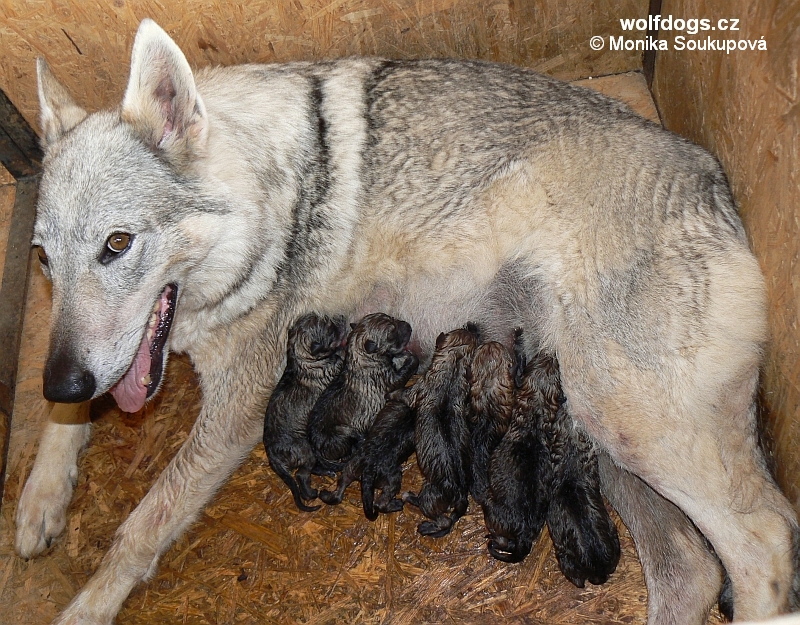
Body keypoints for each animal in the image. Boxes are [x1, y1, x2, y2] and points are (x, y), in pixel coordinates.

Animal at [264, 314, 346, 510]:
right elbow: (341, 355)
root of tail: (272, 455)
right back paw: (311, 493)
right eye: (330, 330)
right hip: (305, 450)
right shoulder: (333, 366)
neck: (300, 356)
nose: (341, 317)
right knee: (302, 474)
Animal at [306, 312, 418, 468]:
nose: (409, 326)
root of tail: (314, 446)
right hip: (342, 436)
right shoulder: (390, 379)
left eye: (392, 318)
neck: (360, 355)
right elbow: (406, 370)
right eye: (391, 334)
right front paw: (411, 358)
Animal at [318, 388, 416, 520]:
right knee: (379, 504)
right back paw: (397, 504)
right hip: (393, 481)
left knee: (338, 494)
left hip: (349, 469)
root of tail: (368, 470)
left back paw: (324, 494)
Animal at [404, 326, 478, 536]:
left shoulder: (417, 388)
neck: (454, 364)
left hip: (429, 494)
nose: (470, 327)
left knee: (442, 520)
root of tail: (460, 495)